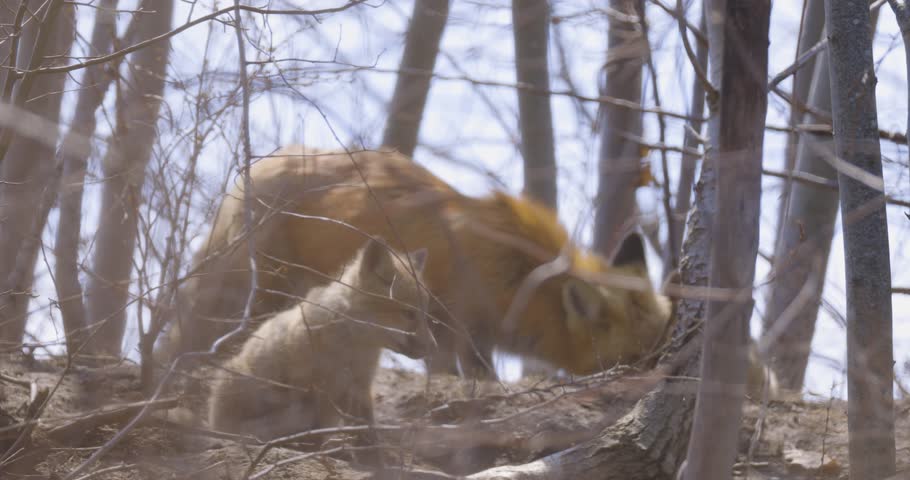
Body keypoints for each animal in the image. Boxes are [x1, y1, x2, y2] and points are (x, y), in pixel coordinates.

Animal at [158, 147, 671, 378]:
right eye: (635, 360)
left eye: (659, 350)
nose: (657, 379)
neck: (518, 277)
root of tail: (256, 167)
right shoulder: (450, 331)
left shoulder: (474, 338)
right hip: (258, 292)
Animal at [207, 239, 431, 440]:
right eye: (409, 314)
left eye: (424, 313)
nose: (432, 347)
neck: (353, 345)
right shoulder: (312, 384)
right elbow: (320, 427)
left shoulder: (359, 385)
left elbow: (368, 430)